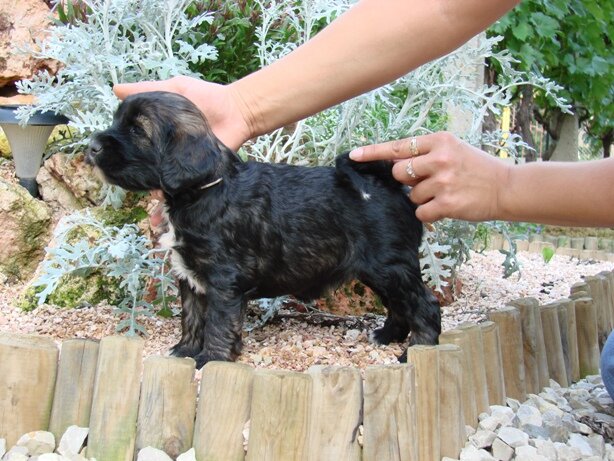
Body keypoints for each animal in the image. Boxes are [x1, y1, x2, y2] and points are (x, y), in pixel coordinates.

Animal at [88, 90, 442, 366]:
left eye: (137, 130)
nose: (91, 146)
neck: (203, 190)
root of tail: (391, 185)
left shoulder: (224, 280)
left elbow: (218, 323)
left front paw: (212, 358)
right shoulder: (191, 278)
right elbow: (192, 317)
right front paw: (185, 351)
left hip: (389, 267)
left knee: (425, 306)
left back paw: (416, 353)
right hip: (380, 271)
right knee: (400, 306)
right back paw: (387, 335)